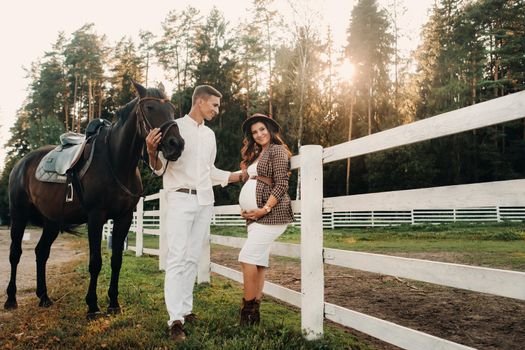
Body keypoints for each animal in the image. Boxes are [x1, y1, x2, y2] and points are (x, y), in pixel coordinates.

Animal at [4, 80, 183, 318]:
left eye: (171, 109)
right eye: (150, 108)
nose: (176, 144)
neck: (116, 162)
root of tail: (21, 164)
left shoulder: (124, 218)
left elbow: (116, 260)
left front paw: (114, 303)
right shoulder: (96, 217)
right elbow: (95, 262)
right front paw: (92, 306)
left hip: (52, 222)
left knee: (41, 252)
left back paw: (44, 297)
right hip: (19, 215)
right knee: (15, 253)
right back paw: (11, 299)